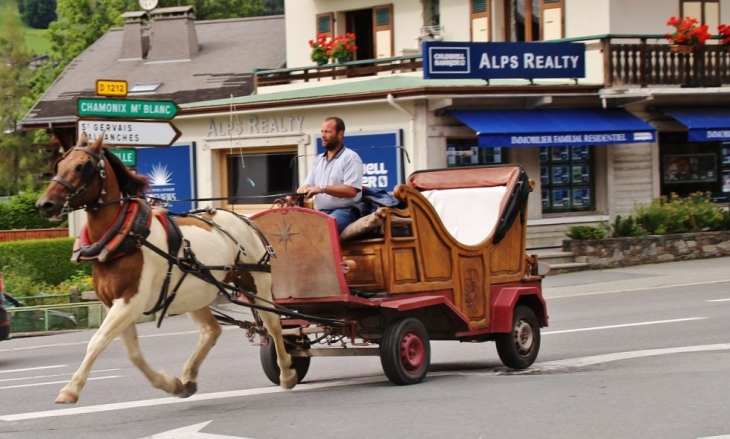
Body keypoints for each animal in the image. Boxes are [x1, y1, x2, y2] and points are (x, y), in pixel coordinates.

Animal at [35, 135, 298, 406]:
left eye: (81, 166)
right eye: (59, 164)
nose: (44, 205)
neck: (126, 235)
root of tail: (244, 220)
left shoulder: (129, 303)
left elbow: (97, 341)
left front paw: (70, 389)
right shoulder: (114, 305)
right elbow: (133, 353)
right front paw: (170, 384)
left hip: (256, 284)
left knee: (273, 325)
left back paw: (287, 372)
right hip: (195, 292)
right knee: (211, 330)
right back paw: (189, 377)